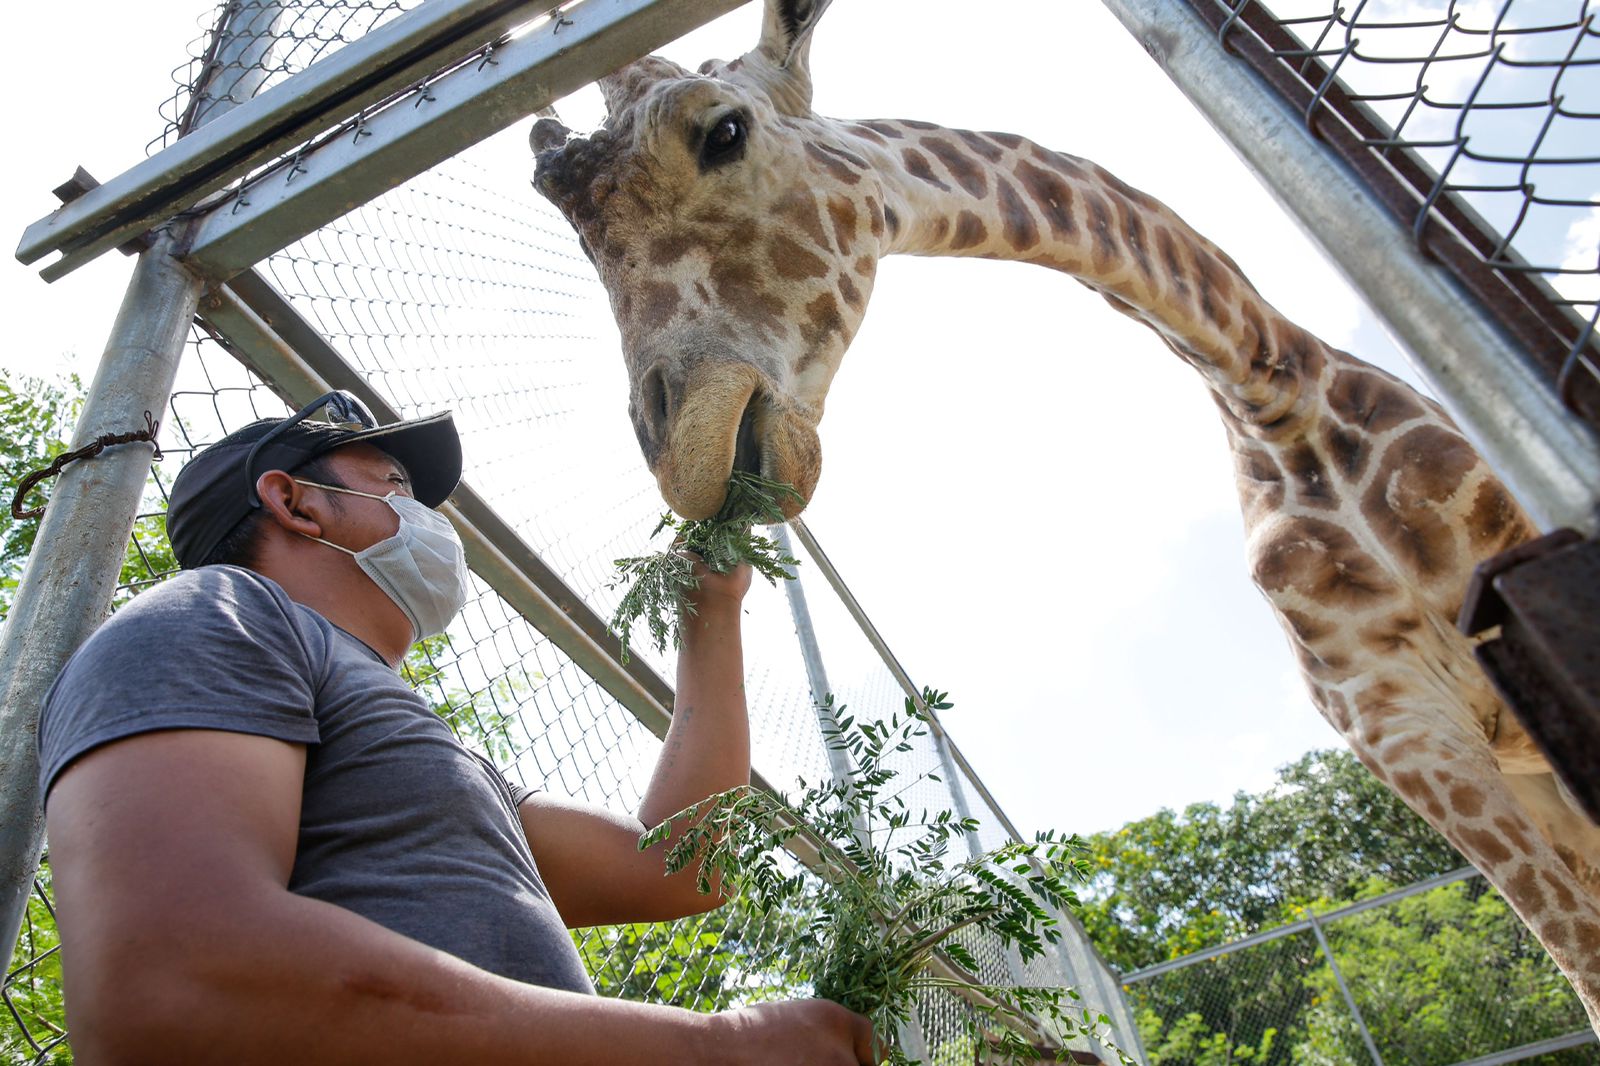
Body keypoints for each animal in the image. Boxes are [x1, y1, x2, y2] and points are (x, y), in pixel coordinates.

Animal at [531, 0, 1593, 1024]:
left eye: (724, 131)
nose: (689, 458)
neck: (1275, 400)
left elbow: (1581, 956)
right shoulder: (1397, 723)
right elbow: (1576, 956)